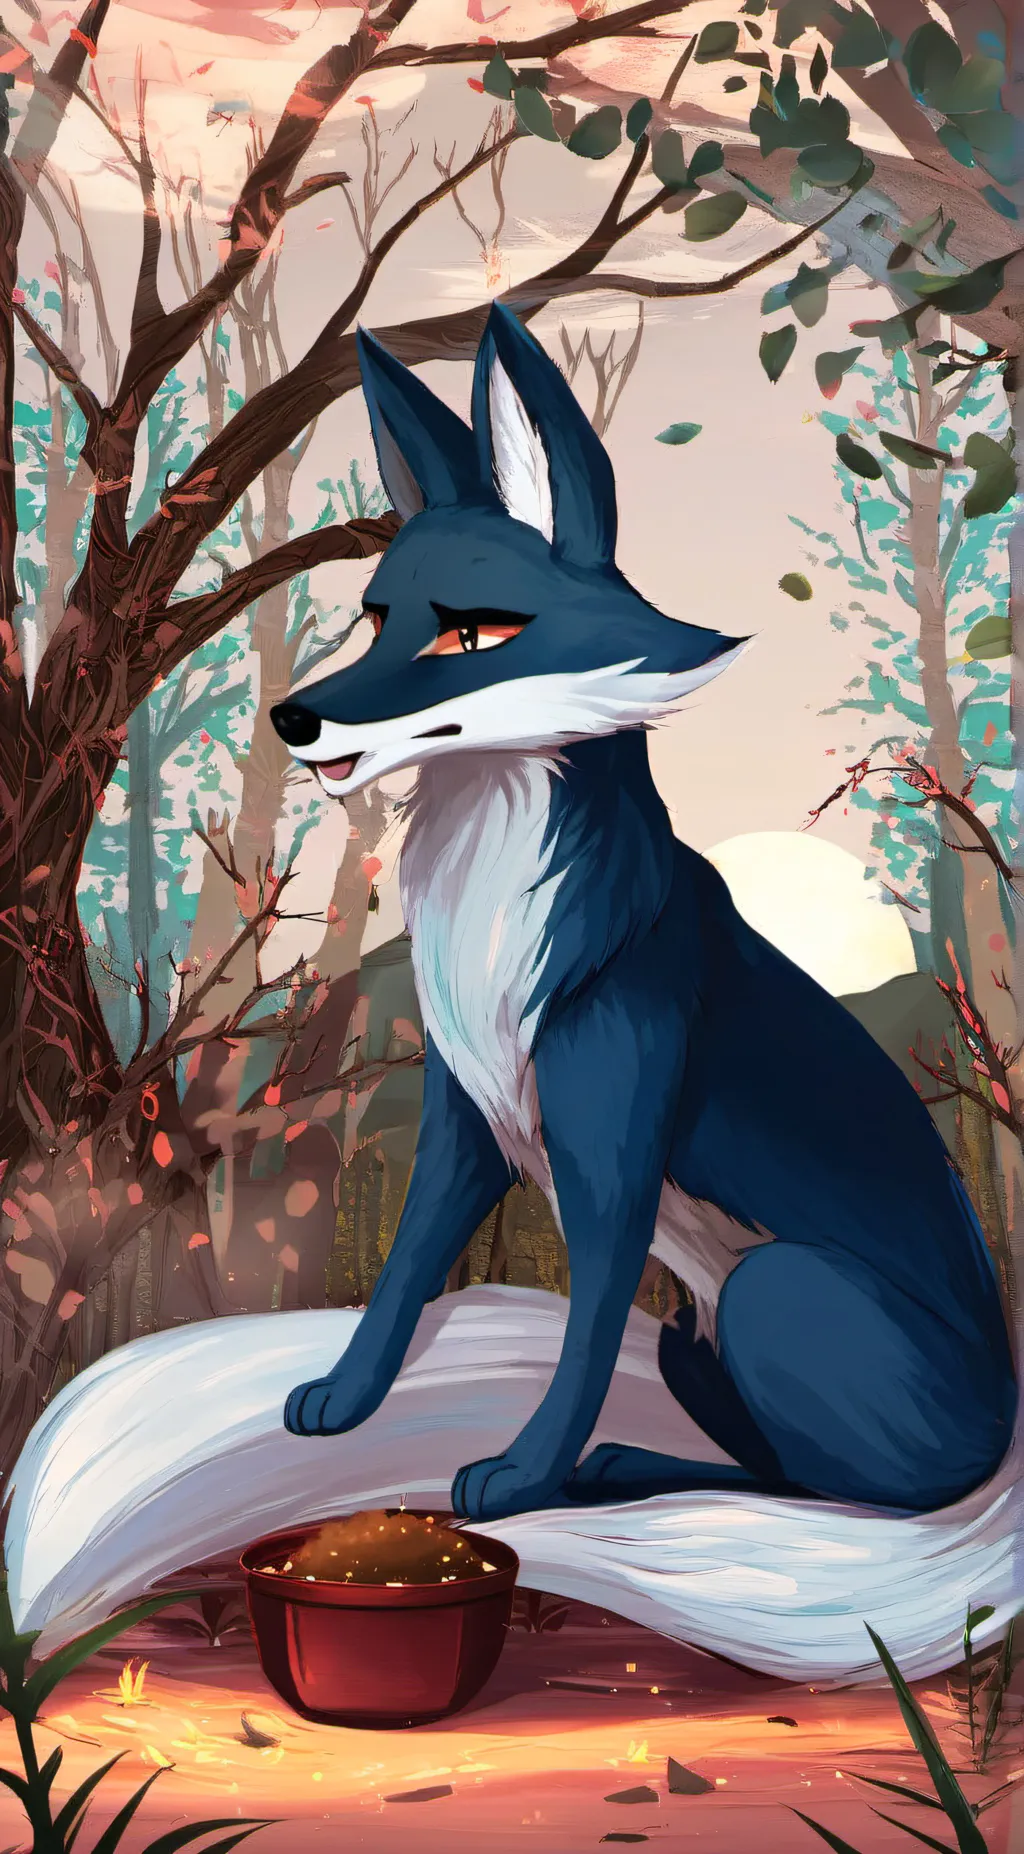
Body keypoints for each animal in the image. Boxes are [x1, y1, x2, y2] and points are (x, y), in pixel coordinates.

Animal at [269, 303, 1017, 1527]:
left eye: (470, 637)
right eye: (376, 619)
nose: (292, 717)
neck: (492, 918)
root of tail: (1000, 1436)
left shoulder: (610, 1144)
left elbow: (581, 1340)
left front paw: (523, 1477)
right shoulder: (467, 1119)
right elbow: (404, 1275)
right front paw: (345, 1397)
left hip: (769, 1289)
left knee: (852, 1494)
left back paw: (601, 1473)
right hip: (692, 1344)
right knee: (795, 1472)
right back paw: (618, 1471)